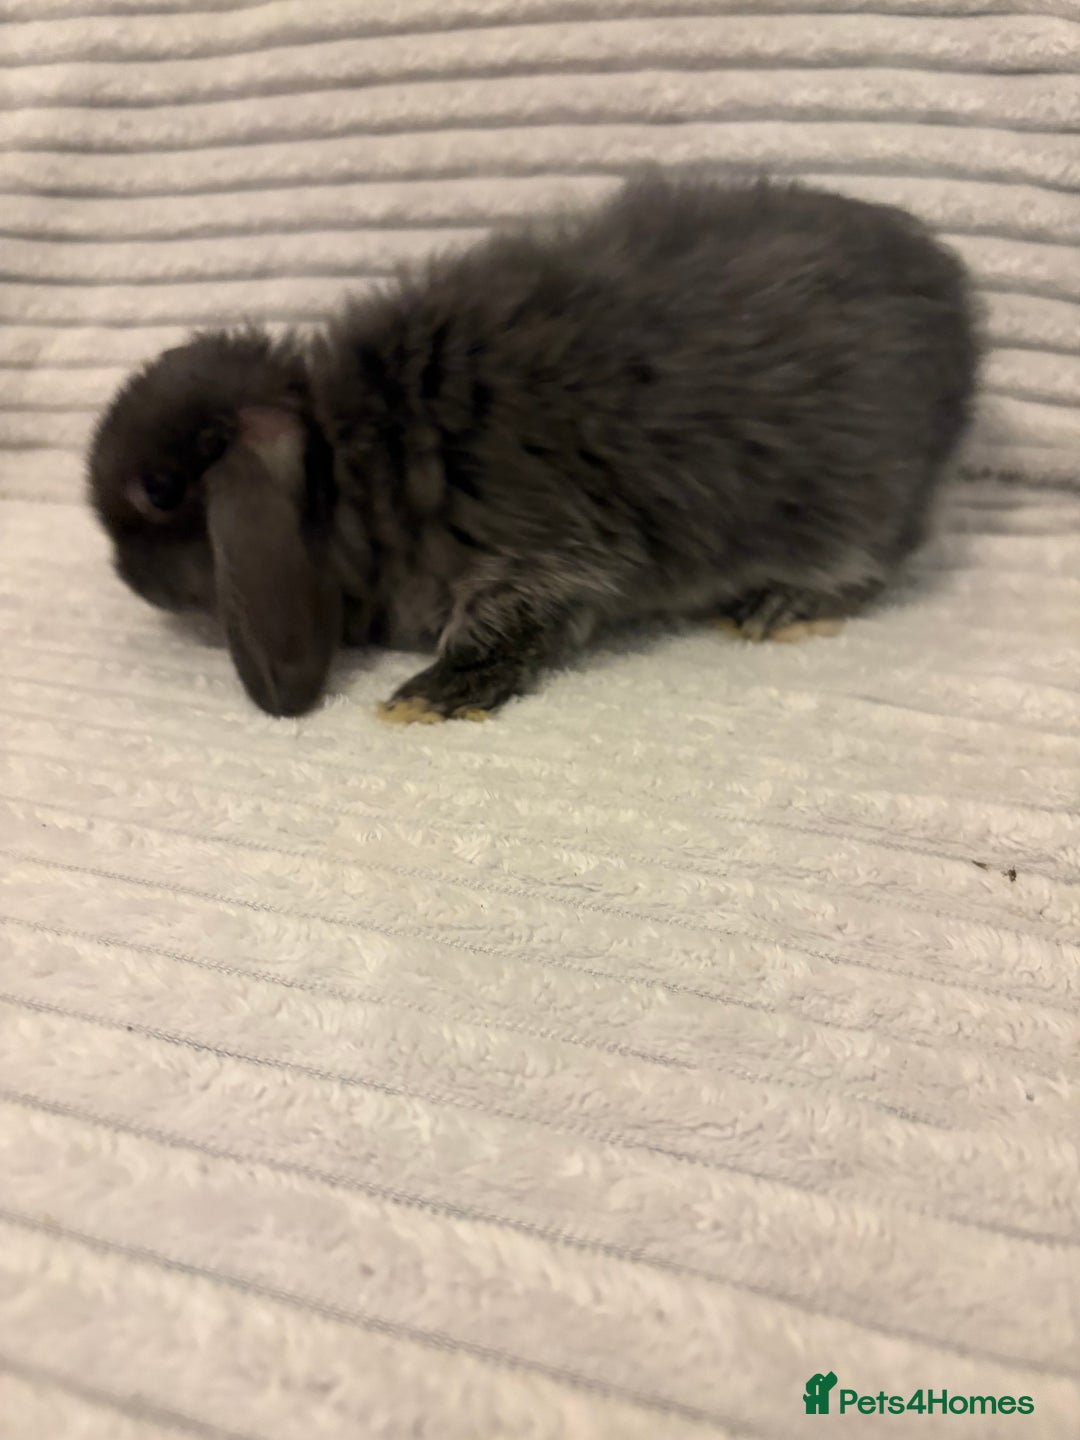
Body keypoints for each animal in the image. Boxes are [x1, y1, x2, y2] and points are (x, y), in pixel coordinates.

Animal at [87, 172, 980, 721]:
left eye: (159, 489)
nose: (128, 579)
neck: (351, 460)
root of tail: (961, 314)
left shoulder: (540, 548)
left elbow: (513, 622)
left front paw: (432, 696)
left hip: (851, 514)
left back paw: (778, 607)